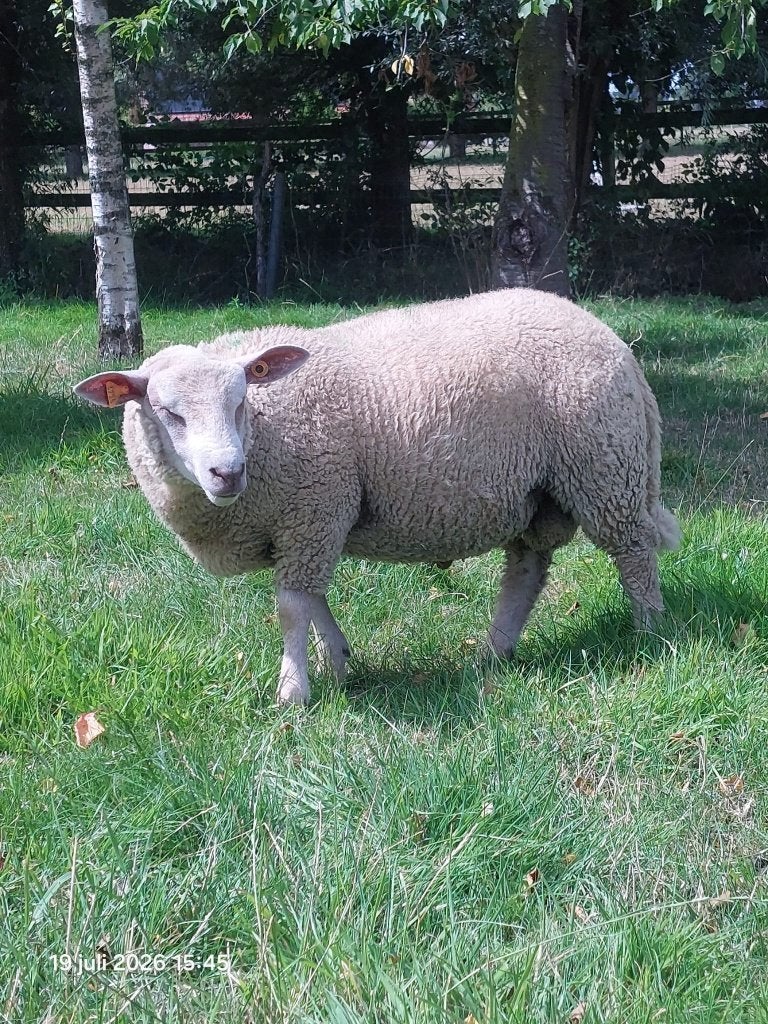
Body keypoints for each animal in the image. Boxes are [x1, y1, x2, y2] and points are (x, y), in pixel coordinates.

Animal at [74, 288, 680, 706]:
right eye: (167, 412)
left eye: (241, 400)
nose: (228, 473)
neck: (268, 431)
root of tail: (611, 338)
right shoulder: (308, 523)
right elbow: (312, 600)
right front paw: (338, 663)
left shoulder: (314, 508)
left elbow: (292, 607)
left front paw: (293, 692)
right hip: (538, 492)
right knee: (527, 569)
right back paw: (495, 652)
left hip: (606, 468)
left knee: (633, 553)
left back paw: (649, 633)